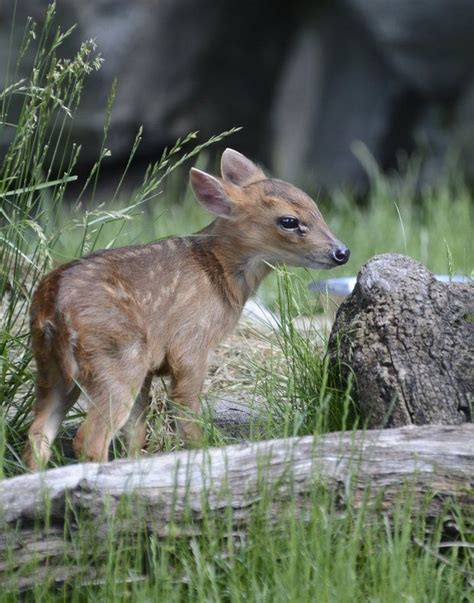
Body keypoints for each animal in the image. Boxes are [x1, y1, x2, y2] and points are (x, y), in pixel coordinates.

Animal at [24, 149, 350, 470]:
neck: (218, 274)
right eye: (289, 221)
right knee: (88, 439)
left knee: (38, 434)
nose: (342, 252)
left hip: (52, 368)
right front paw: (201, 452)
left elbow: (137, 431)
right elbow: (186, 409)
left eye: (315, 207)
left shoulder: (150, 368)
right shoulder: (190, 343)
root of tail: (54, 310)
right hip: (117, 357)